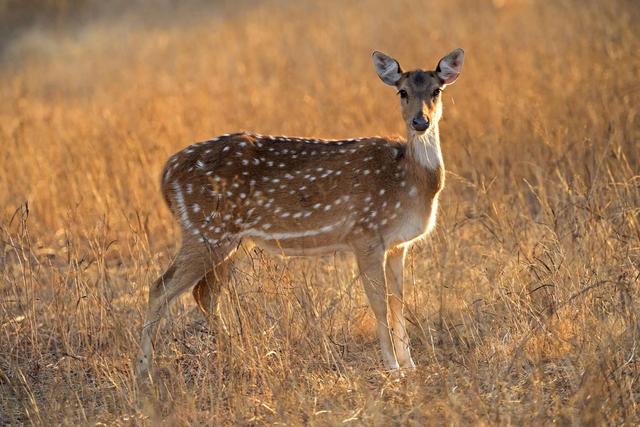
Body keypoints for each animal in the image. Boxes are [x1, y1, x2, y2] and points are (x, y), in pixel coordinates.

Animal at [136, 48, 464, 376]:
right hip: (205, 228)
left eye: (436, 90)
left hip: (231, 239)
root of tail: (166, 174)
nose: (420, 121)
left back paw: (238, 354)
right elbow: (380, 303)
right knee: (161, 287)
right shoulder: (366, 234)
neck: (410, 181)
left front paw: (410, 365)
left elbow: (398, 301)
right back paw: (144, 370)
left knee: (204, 293)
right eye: (402, 91)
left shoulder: (398, 244)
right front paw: (392, 367)